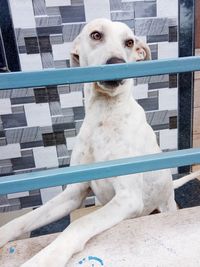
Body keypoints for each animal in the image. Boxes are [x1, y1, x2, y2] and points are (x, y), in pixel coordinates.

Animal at [0, 18, 200, 267]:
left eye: (129, 42)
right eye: (96, 35)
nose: (116, 63)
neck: (103, 115)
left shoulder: (127, 198)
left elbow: (80, 223)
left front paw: (46, 258)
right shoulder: (74, 192)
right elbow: (25, 219)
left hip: (164, 205)